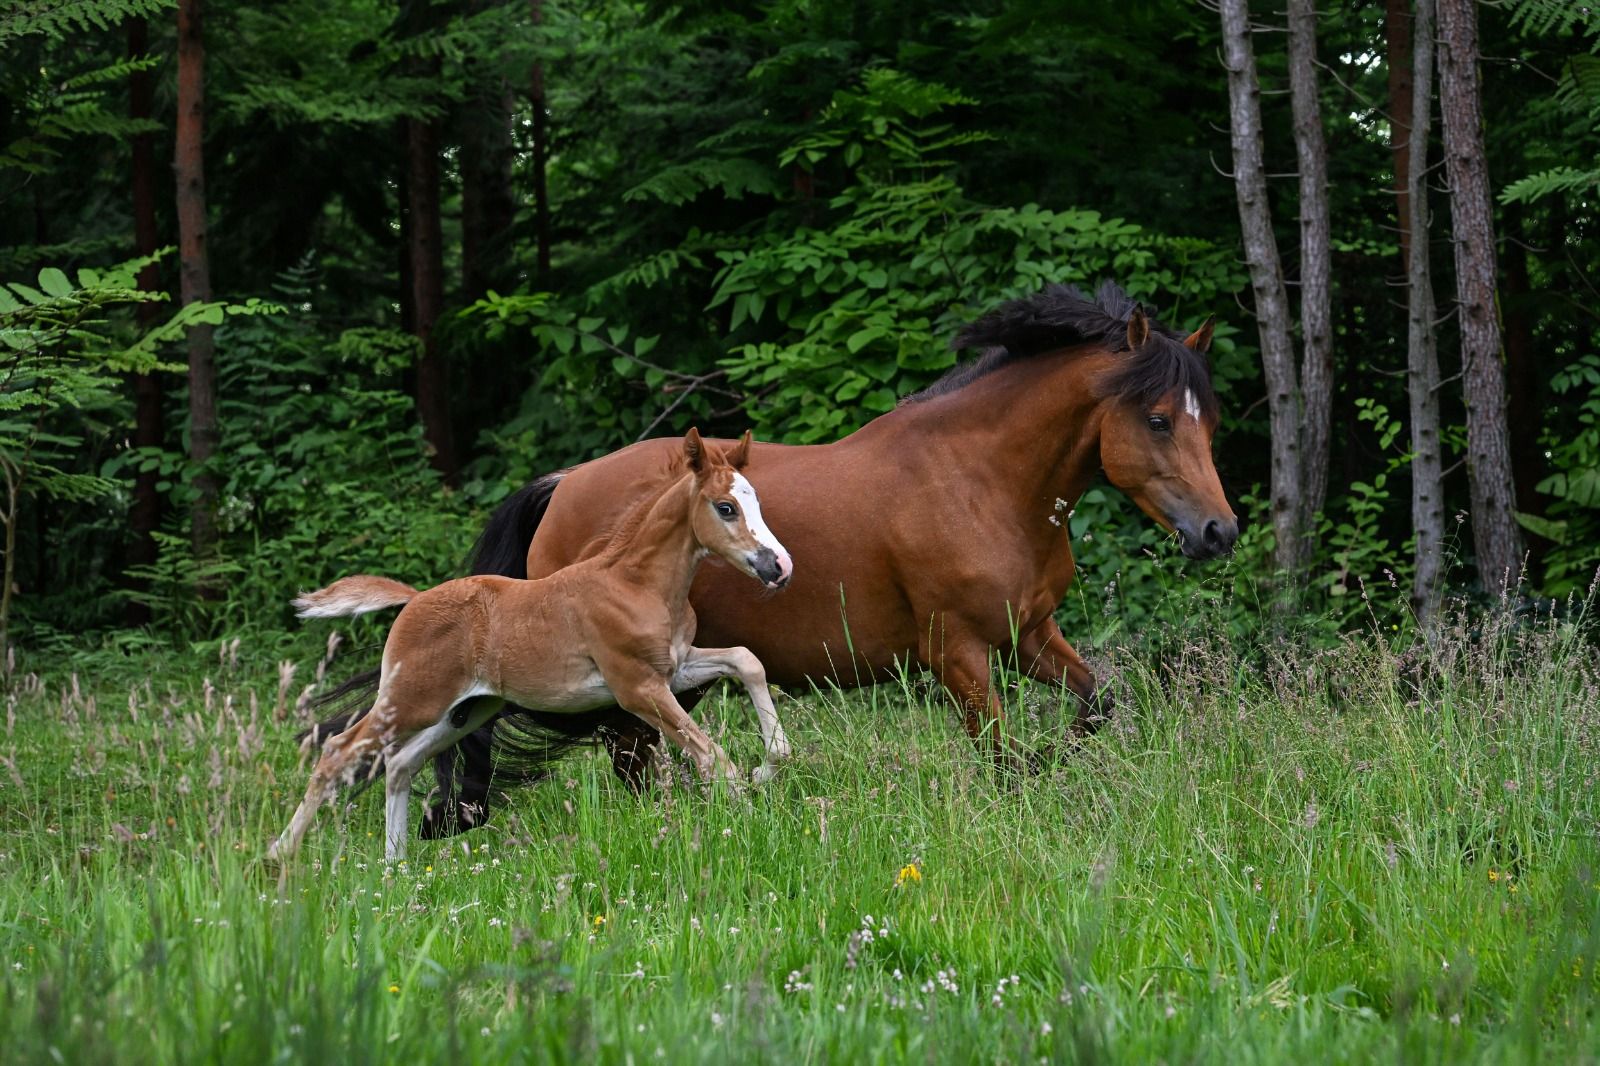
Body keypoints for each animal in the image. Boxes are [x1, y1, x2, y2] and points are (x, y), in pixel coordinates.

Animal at [270, 429, 793, 862]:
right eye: (725, 507)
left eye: (756, 503)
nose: (778, 566)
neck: (635, 582)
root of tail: (415, 599)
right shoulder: (637, 687)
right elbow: (712, 756)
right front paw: (746, 818)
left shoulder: (675, 668)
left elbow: (746, 662)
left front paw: (770, 766)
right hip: (411, 700)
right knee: (337, 750)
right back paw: (280, 855)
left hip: (466, 710)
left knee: (400, 763)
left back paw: (395, 866)